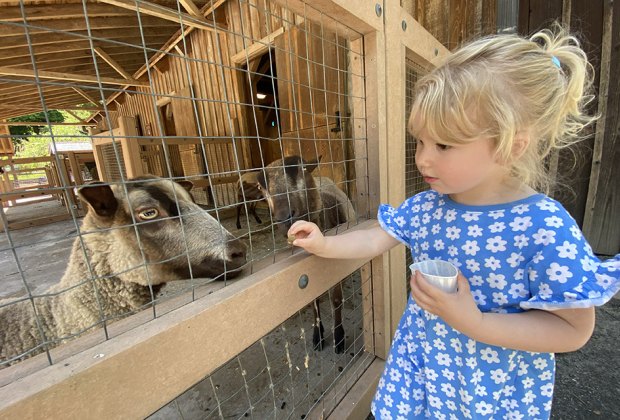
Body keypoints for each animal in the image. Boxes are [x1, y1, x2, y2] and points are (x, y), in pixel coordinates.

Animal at [256, 156, 354, 352]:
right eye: (260, 186)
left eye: (302, 170)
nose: (284, 216)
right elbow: (314, 303)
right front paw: (318, 335)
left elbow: (336, 300)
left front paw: (339, 338)